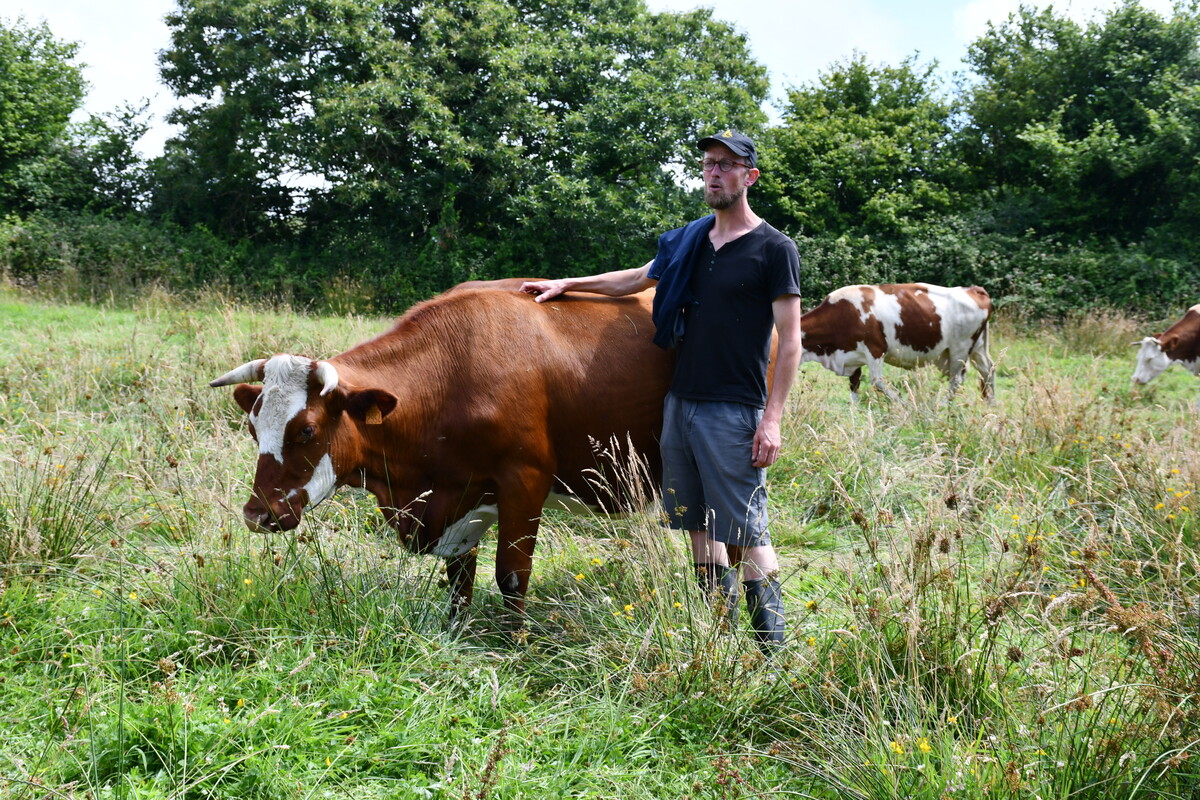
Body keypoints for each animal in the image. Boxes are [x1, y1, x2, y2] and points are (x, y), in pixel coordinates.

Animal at [210, 280, 672, 618]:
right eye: (253, 428)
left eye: (306, 430)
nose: (257, 514)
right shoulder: (459, 498)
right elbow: (459, 577)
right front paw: (457, 631)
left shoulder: (525, 481)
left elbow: (512, 575)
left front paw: (515, 646)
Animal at [796, 284, 993, 402]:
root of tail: (973, 289)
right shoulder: (852, 356)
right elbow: (854, 386)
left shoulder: (875, 349)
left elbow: (878, 382)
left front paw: (905, 405)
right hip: (973, 348)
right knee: (987, 369)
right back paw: (990, 406)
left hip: (960, 348)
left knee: (956, 379)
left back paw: (942, 406)